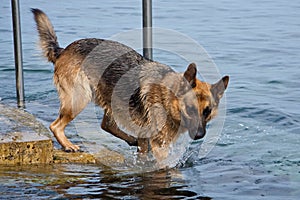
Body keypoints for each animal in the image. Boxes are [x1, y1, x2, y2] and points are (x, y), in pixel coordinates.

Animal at [31, 8, 229, 160]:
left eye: (207, 111)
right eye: (190, 108)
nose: (199, 135)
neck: (166, 98)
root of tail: (63, 50)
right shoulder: (159, 146)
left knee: (106, 124)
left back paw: (129, 139)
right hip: (79, 99)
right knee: (55, 126)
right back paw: (68, 145)